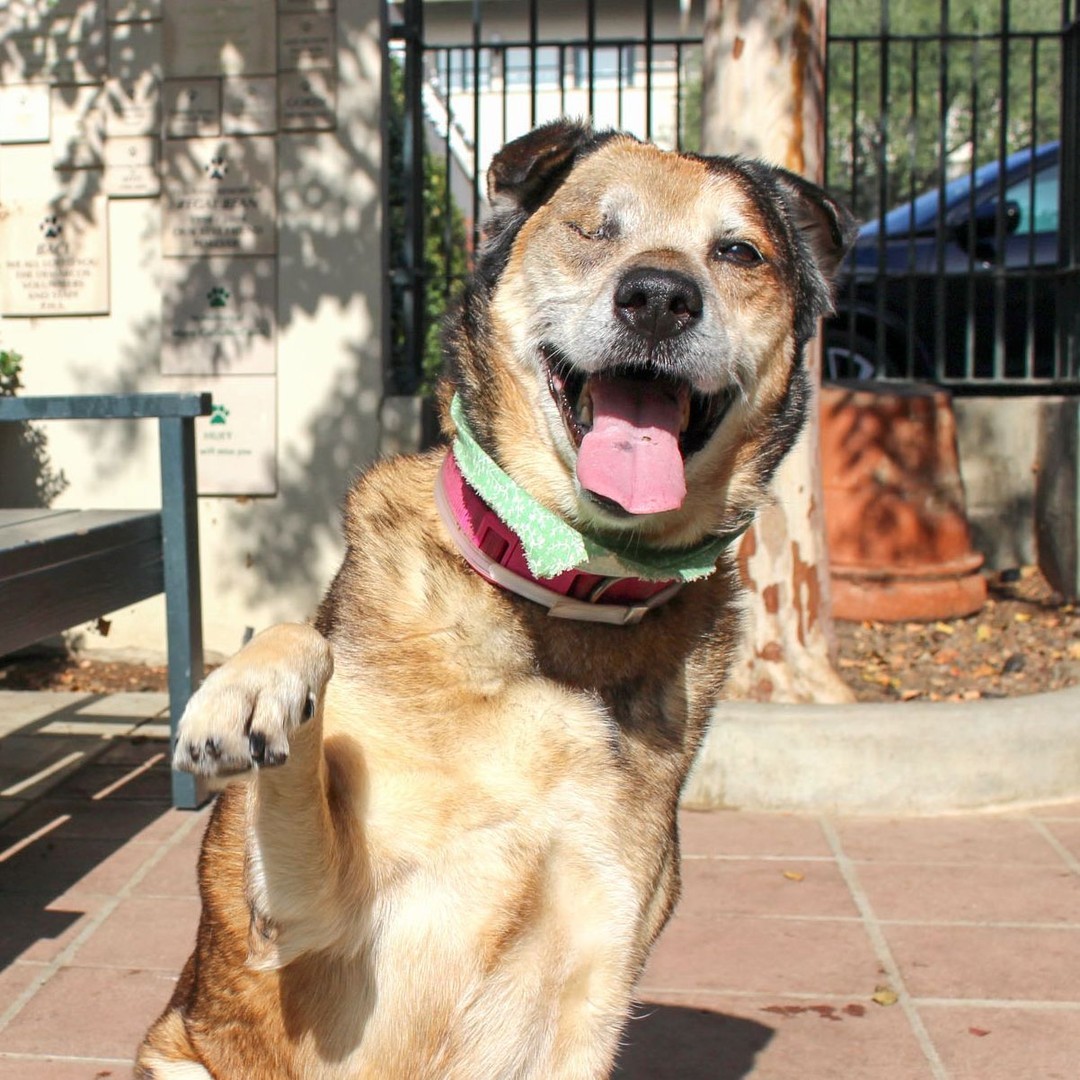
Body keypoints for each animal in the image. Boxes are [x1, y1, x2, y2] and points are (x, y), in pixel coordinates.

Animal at [139, 120, 855, 1080]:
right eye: (594, 228)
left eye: (738, 251)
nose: (659, 297)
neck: (563, 601)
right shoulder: (307, 917)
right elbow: (300, 651)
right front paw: (252, 691)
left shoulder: (596, 975)